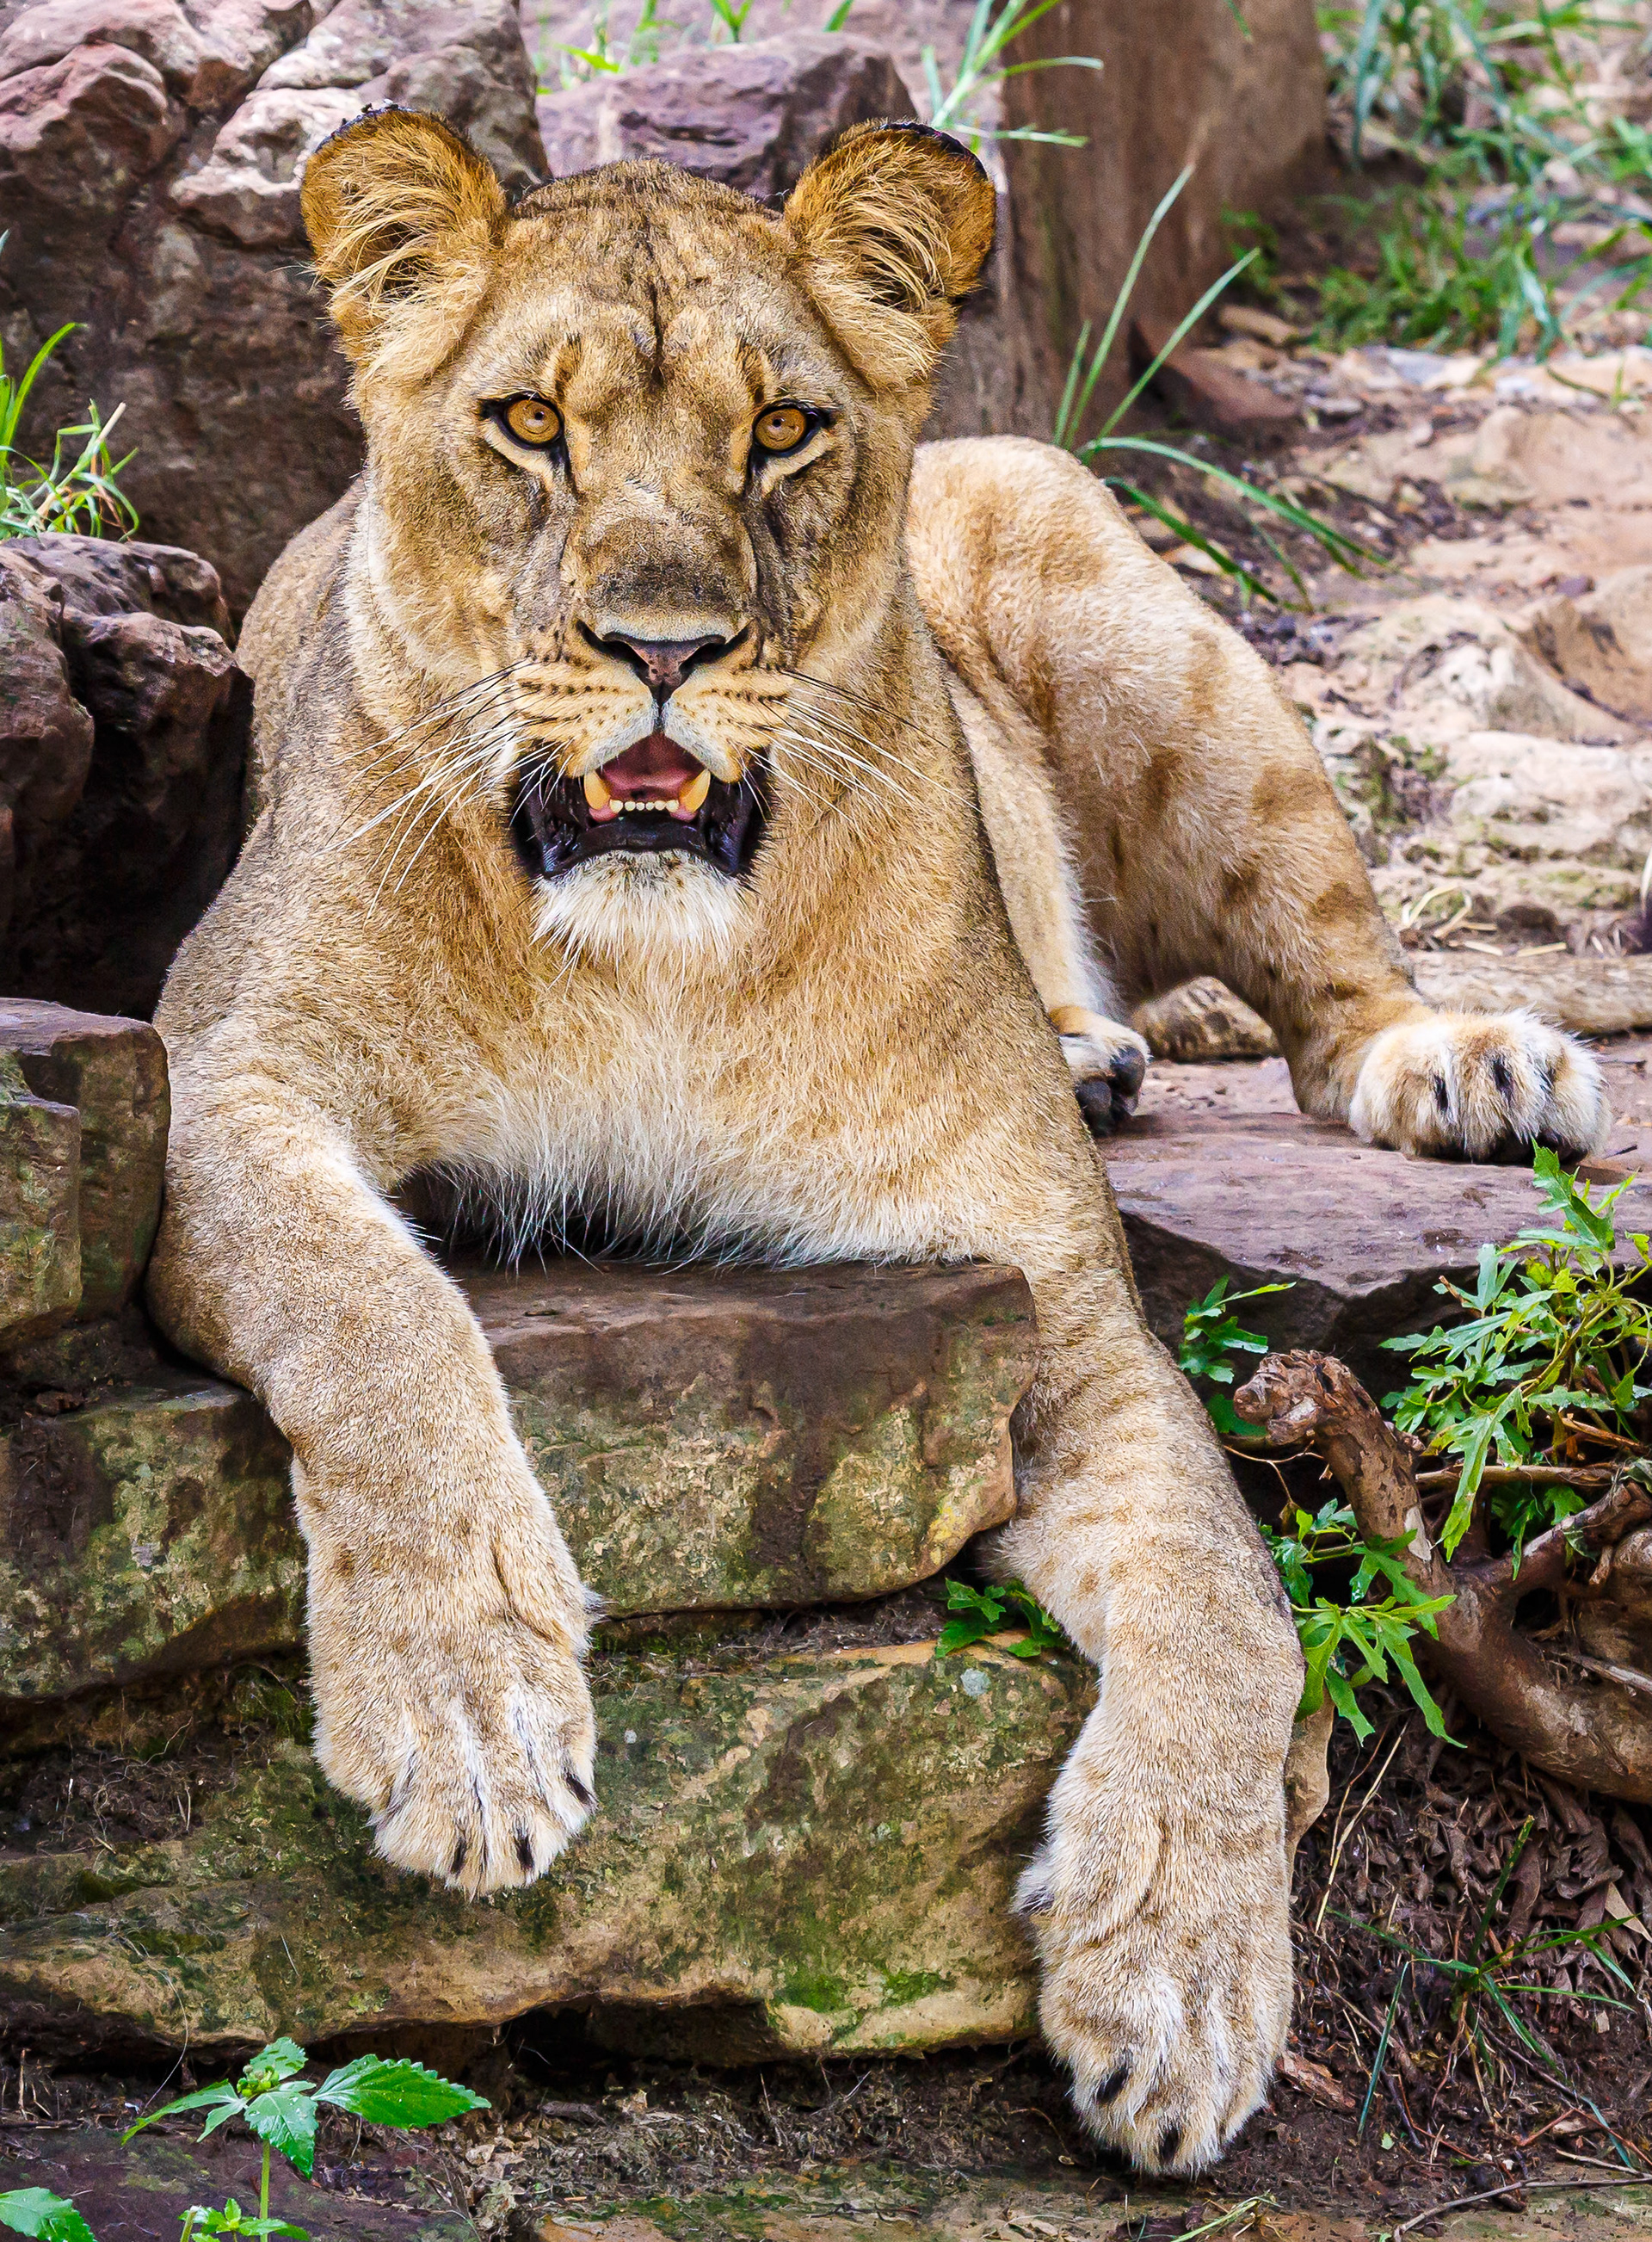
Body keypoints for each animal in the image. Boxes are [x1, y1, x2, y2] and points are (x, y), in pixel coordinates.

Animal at [146, 109, 1606, 2177]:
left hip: (1149, 639)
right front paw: (471, 1711)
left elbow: (1227, 1600)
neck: (650, 967)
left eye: (782, 430)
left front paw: (1183, 1981)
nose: (661, 649)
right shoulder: (214, 1071)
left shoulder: (1060, 1302)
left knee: (1332, 990)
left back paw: (1451, 1069)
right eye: (528, 424)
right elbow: (377, 1312)